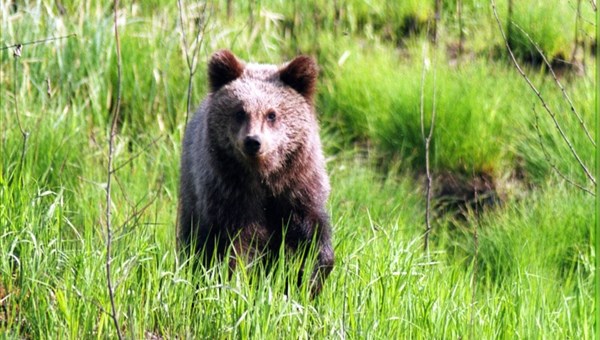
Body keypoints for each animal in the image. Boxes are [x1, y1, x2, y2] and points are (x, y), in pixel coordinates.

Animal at [178, 49, 336, 296]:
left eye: (272, 114)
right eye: (240, 112)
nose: (253, 141)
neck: (265, 177)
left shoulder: (299, 186)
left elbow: (312, 234)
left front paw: (311, 277)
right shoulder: (230, 194)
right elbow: (238, 246)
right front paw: (238, 282)